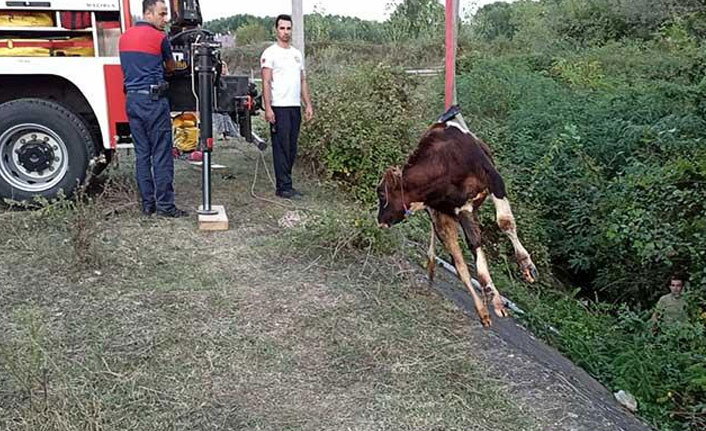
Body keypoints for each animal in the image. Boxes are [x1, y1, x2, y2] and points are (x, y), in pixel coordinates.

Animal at [376, 118, 536, 328]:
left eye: (381, 193)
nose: (379, 220)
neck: (445, 162)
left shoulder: (494, 179)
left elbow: (505, 222)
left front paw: (526, 265)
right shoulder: (457, 209)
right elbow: (472, 247)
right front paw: (493, 296)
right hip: (443, 220)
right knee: (460, 266)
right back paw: (482, 310)